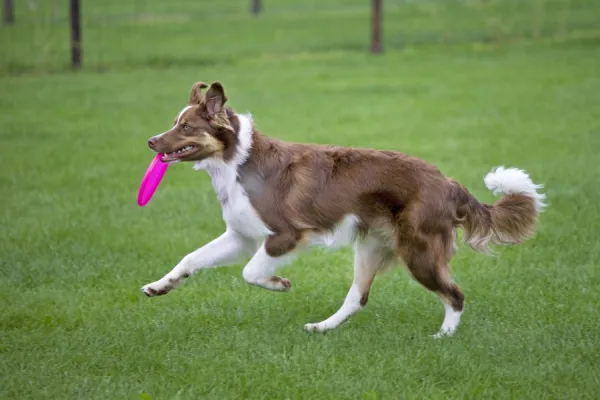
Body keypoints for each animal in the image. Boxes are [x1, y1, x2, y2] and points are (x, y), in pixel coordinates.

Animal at [141, 79, 544, 336]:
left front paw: (279, 283)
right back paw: (323, 327)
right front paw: (159, 286)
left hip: (419, 252)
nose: (150, 141)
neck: (237, 162)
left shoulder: (287, 235)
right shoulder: (240, 236)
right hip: (371, 245)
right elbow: (191, 259)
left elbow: (250, 272)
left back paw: (443, 337)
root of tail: (448, 183)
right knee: (357, 298)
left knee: (455, 295)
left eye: (186, 126)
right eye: (175, 123)